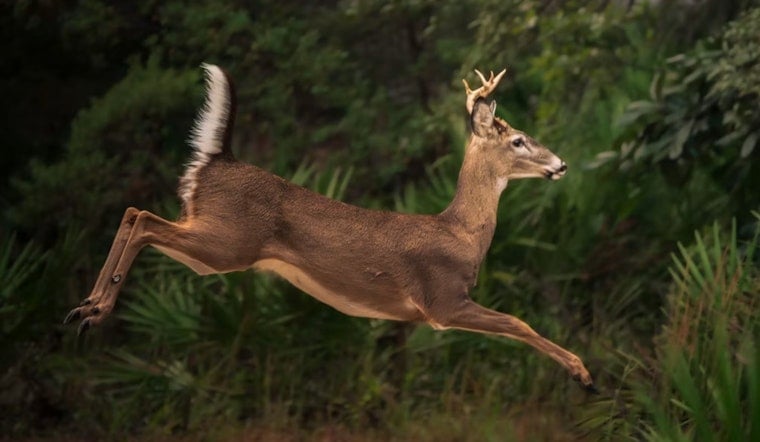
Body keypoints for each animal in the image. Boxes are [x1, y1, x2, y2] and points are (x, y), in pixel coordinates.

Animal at [63, 64, 596, 392]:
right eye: (520, 140)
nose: (562, 164)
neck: (461, 232)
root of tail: (217, 160)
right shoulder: (442, 301)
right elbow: (518, 322)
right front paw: (583, 374)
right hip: (226, 242)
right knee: (143, 218)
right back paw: (94, 310)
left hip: (212, 243)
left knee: (134, 213)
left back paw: (84, 308)